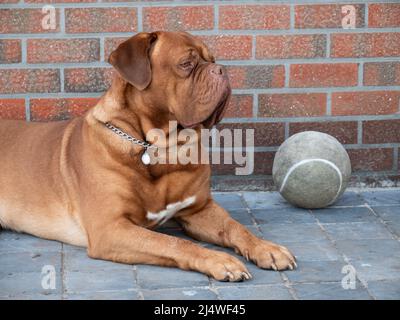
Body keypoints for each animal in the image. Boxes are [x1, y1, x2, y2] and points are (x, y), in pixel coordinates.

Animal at [0, 31, 294, 282]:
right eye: (187, 63)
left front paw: (266, 248)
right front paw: (219, 260)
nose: (221, 70)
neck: (159, 147)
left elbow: (235, 227)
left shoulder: (199, 209)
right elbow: (175, 242)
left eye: (211, 60)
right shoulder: (112, 228)